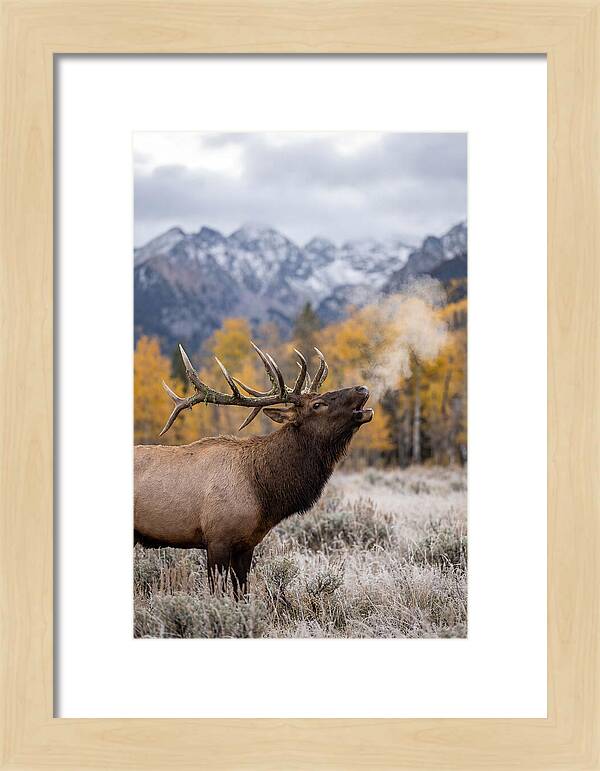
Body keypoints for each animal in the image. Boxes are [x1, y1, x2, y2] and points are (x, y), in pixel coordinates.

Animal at [134, 341, 373, 597]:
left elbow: (242, 592)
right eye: (317, 404)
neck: (263, 493)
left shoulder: (246, 544)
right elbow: (217, 593)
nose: (362, 388)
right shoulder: (217, 539)